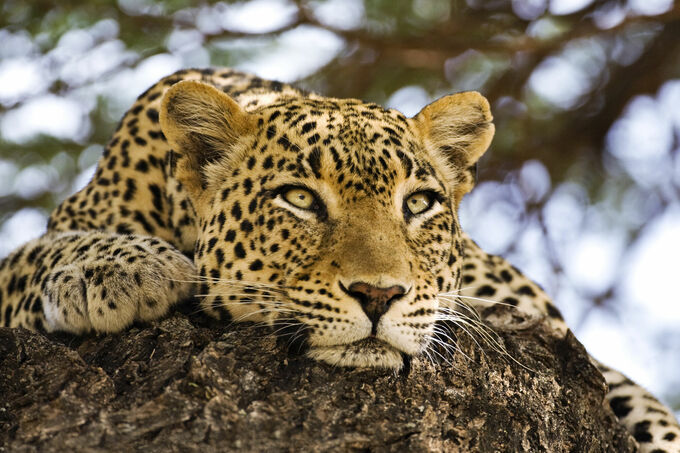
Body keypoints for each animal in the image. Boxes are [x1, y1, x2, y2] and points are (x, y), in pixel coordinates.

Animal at [0, 67, 678, 452]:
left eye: (420, 203)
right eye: (299, 198)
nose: (379, 295)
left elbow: (647, 407)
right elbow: (31, 252)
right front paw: (121, 269)